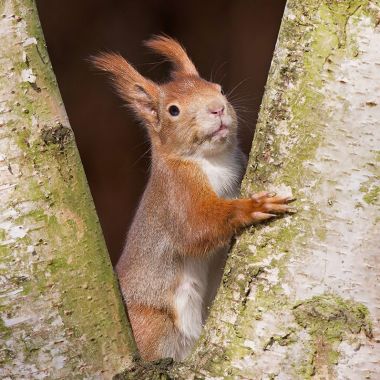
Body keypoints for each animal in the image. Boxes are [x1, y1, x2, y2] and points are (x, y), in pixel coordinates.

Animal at [93, 36, 292, 362]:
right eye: (173, 110)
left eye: (218, 88)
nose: (217, 109)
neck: (215, 160)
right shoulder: (177, 194)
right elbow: (197, 228)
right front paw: (255, 207)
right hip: (154, 328)